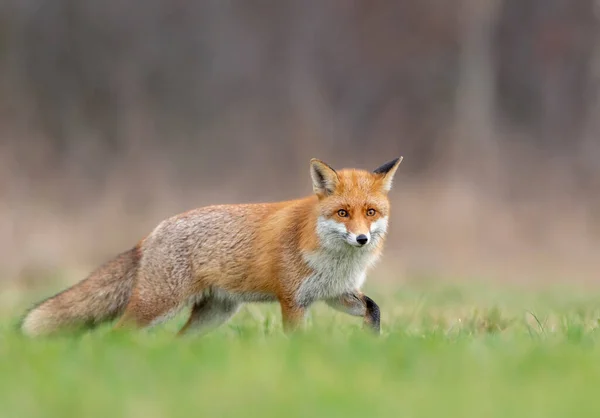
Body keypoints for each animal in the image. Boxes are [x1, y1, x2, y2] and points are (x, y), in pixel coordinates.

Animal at [19, 157, 404, 336]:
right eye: (343, 213)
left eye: (370, 212)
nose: (361, 238)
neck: (337, 260)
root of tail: (153, 232)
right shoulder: (293, 300)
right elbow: (298, 339)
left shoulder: (333, 293)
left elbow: (374, 308)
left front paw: (372, 339)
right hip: (158, 305)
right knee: (116, 333)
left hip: (214, 314)